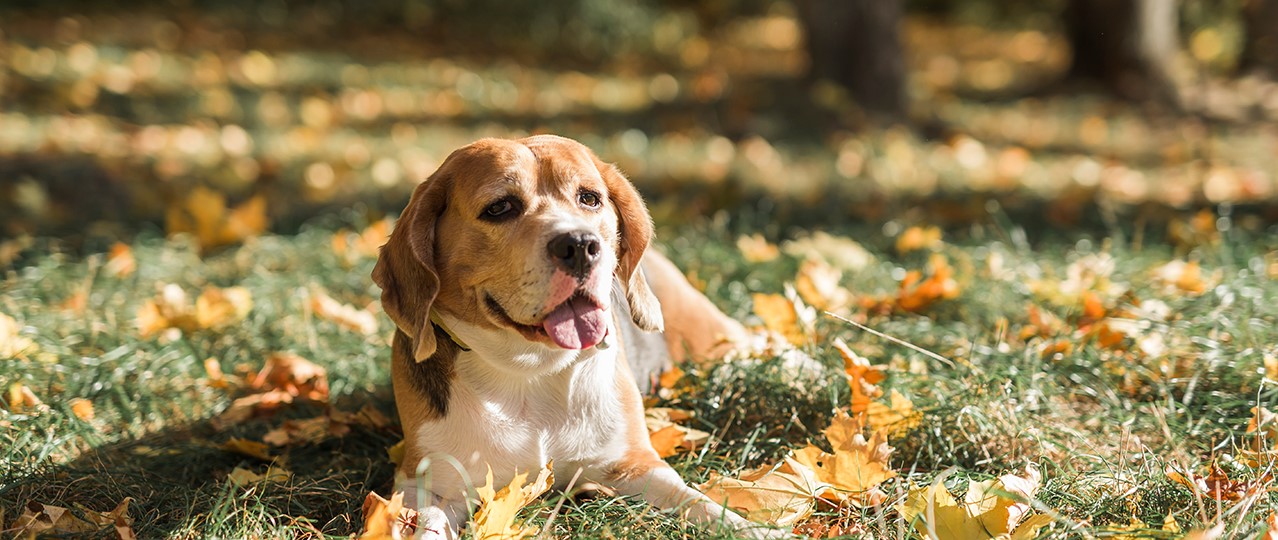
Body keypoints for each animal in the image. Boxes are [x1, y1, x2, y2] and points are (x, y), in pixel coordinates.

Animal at [373, 134, 777, 536]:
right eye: (500, 207)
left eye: (590, 198)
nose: (581, 245)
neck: (529, 369)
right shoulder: (427, 484)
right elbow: (427, 525)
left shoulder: (638, 464)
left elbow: (699, 502)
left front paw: (752, 528)